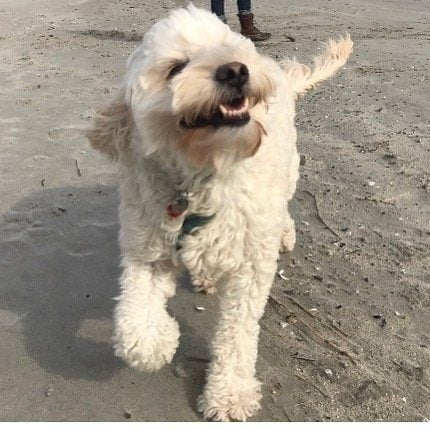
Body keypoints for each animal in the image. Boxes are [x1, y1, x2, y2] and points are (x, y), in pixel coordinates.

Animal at [86, 5, 352, 422]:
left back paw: (284, 233)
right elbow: (134, 330)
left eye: (232, 49)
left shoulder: (250, 267)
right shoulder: (148, 248)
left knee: (284, 204)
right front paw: (160, 338)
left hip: (287, 170)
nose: (235, 71)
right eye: (175, 67)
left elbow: (238, 333)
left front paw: (230, 393)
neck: (203, 175)